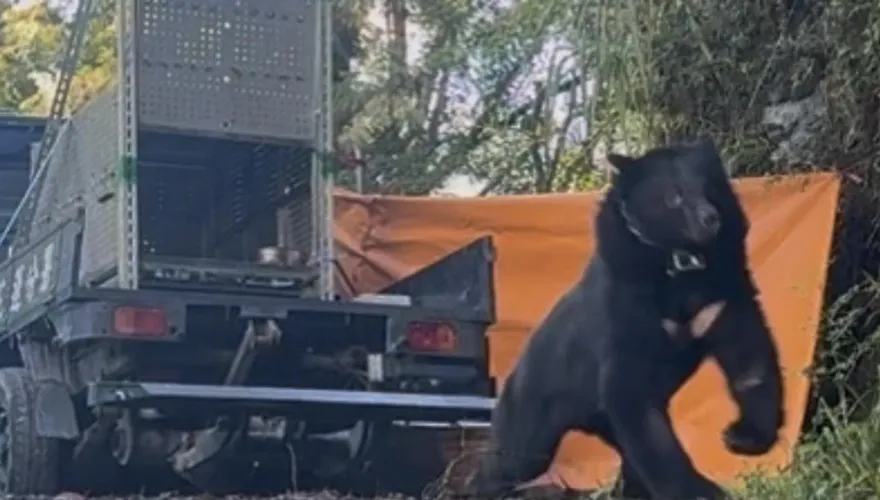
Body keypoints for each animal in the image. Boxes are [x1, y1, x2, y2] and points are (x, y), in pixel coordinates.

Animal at [465, 138, 785, 500]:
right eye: (674, 196)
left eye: (709, 187)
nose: (710, 219)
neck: (680, 264)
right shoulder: (626, 307)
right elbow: (631, 395)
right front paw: (700, 489)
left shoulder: (721, 297)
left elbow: (750, 356)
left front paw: (742, 436)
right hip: (533, 407)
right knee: (513, 457)